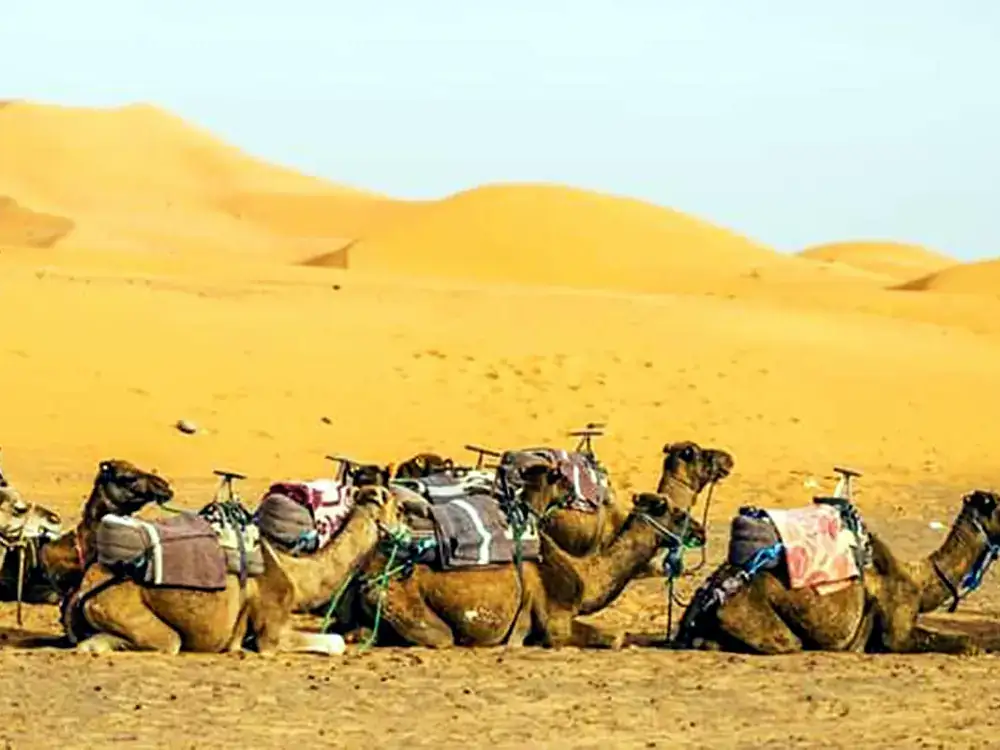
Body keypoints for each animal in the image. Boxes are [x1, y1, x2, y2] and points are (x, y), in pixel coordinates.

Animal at [39, 459, 403, 655]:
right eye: (399, 507)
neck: (296, 574)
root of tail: (83, 590)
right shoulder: (272, 632)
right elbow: (335, 642)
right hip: (128, 614)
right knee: (163, 641)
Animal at [345, 480, 706, 648]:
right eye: (677, 514)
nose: (701, 531)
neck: (583, 575)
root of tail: (367, 573)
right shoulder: (555, 623)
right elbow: (616, 638)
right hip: (402, 601)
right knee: (441, 636)